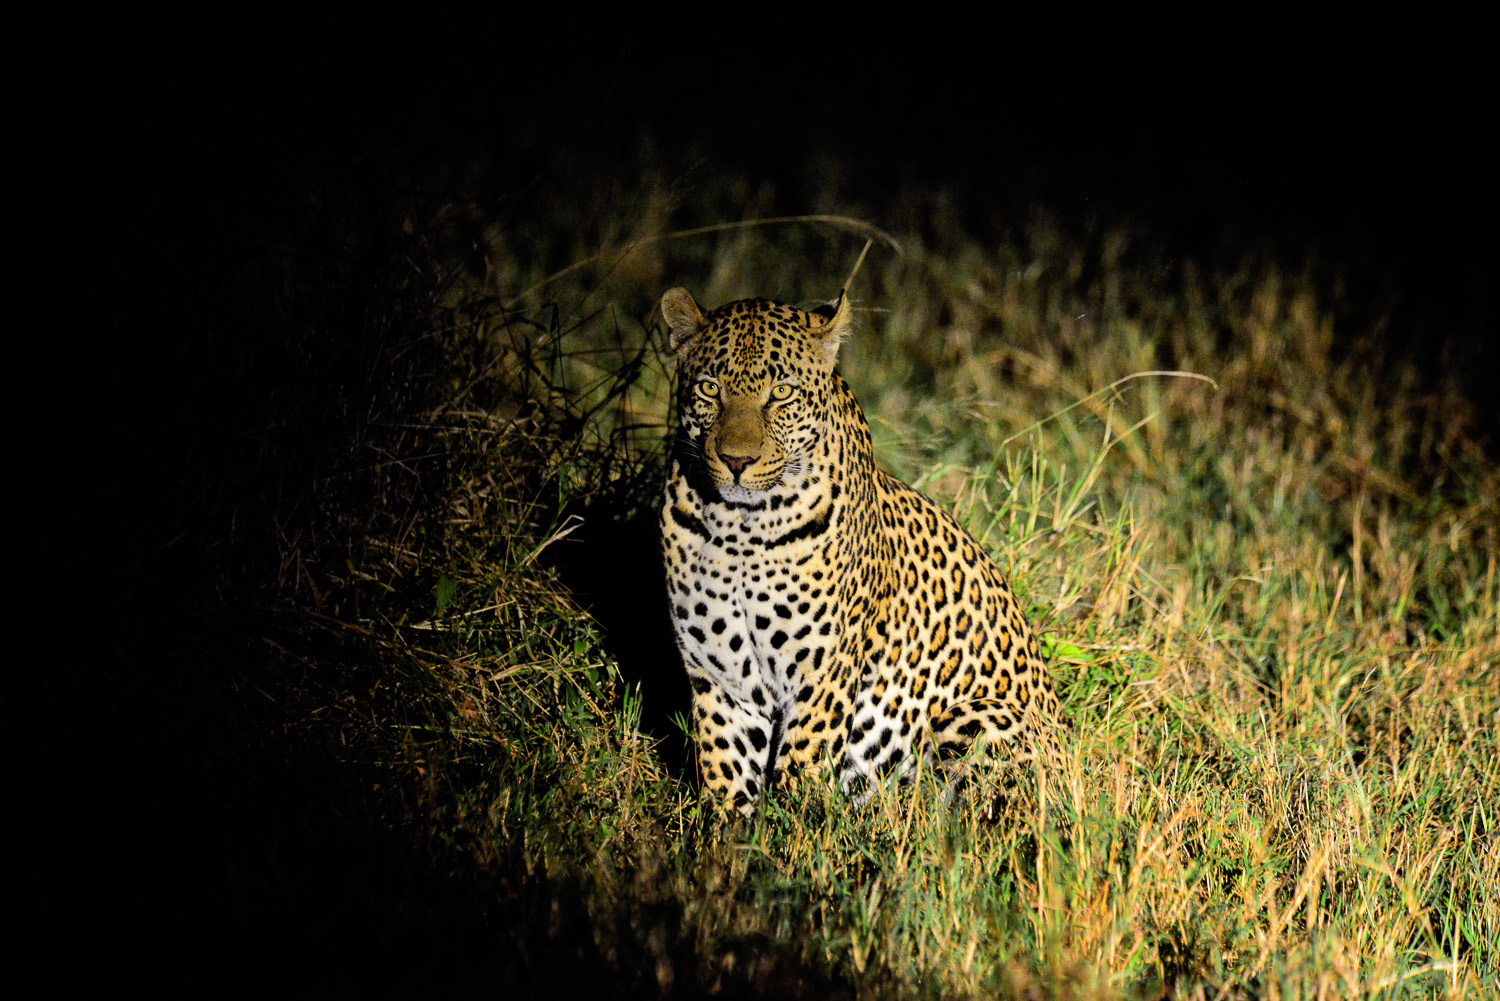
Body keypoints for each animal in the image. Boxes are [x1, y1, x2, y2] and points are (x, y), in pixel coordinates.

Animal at [659, 286, 1064, 815]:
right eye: (710, 389)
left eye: (781, 393)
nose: (736, 460)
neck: (740, 530)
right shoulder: (720, 679)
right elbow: (727, 775)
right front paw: (724, 833)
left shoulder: (822, 676)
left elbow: (799, 770)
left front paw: (790, 832)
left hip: (985, 716)